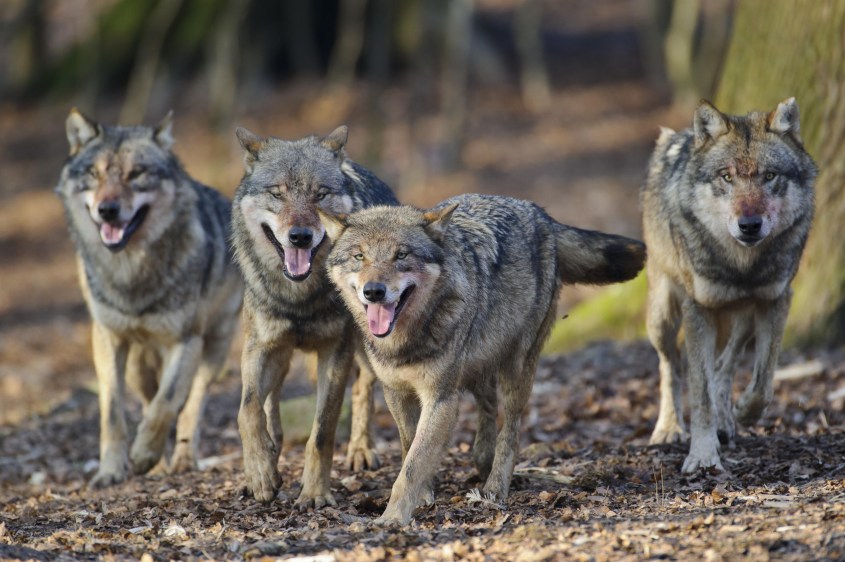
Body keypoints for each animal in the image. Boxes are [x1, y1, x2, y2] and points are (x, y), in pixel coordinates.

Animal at [55, 109, 243, 488]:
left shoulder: (185, 342)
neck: (131, 273)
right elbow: (114, 414)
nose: (107, 210)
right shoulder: (108, 340)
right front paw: (111, 471)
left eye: (136, 174)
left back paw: (182, 460)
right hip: (138, 365)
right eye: (94, 174)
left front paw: (143, 454)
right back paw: (158, 465)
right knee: (146, 398)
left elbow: (167, 403)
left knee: (191, 404)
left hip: (213, 348)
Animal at [231, 125, 398, 507]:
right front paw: (260, 474)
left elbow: (322, 431)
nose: (300, 237)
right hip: (280, 358)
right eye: (277, 193)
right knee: (270, 407)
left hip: (367, 345)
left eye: (320, 194)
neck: (300, 298)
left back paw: (361, 450)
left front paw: (314, 494)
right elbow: (247, 409)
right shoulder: (260, 347)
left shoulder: (335, 352)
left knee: (364, 388)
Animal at [321, 193, 646, 524]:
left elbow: (412, 466)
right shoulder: (395, 392)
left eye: (401, 255)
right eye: (359, 256)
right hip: (481, 364)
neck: (407, 341)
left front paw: (393, 518)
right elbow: (410, 448)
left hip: (517, 370)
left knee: (511, 430)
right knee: (488, 406)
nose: (374, 291)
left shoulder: (441, 398)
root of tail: (539, 213)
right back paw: (482, 460)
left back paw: (495, 486)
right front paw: (423, 495)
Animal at [642, 98, 816, 472]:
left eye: (769, 176)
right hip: (662, 316)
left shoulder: (776, 300)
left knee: (724, 365)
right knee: (671, 367)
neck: (742, 266)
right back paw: (669, 428)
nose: (749, 225)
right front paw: (702, 455)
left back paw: (726, 421)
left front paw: (743, 413)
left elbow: (763, 381)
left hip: (743, 318)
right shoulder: (699, 310)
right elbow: (700, 391)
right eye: (727, 176)